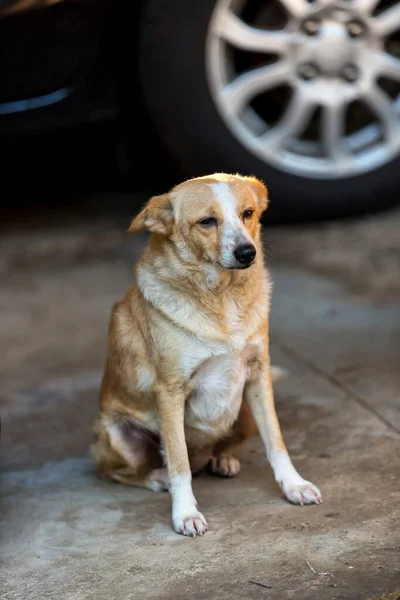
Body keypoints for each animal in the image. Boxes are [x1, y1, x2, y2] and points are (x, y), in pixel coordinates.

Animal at [91, 171, 322, 536]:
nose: (247, 253)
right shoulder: (169, 392)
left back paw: (222, 459)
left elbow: (276, 440)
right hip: (119, 437)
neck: (222, 298)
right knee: (117, 472)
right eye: (207, 221)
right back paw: (156, 478)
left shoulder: (259, 374)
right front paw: (185, 513)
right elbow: (179, 463)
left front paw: (294, 485)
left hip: (243, 412)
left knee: (222, 445)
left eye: (248, 213)